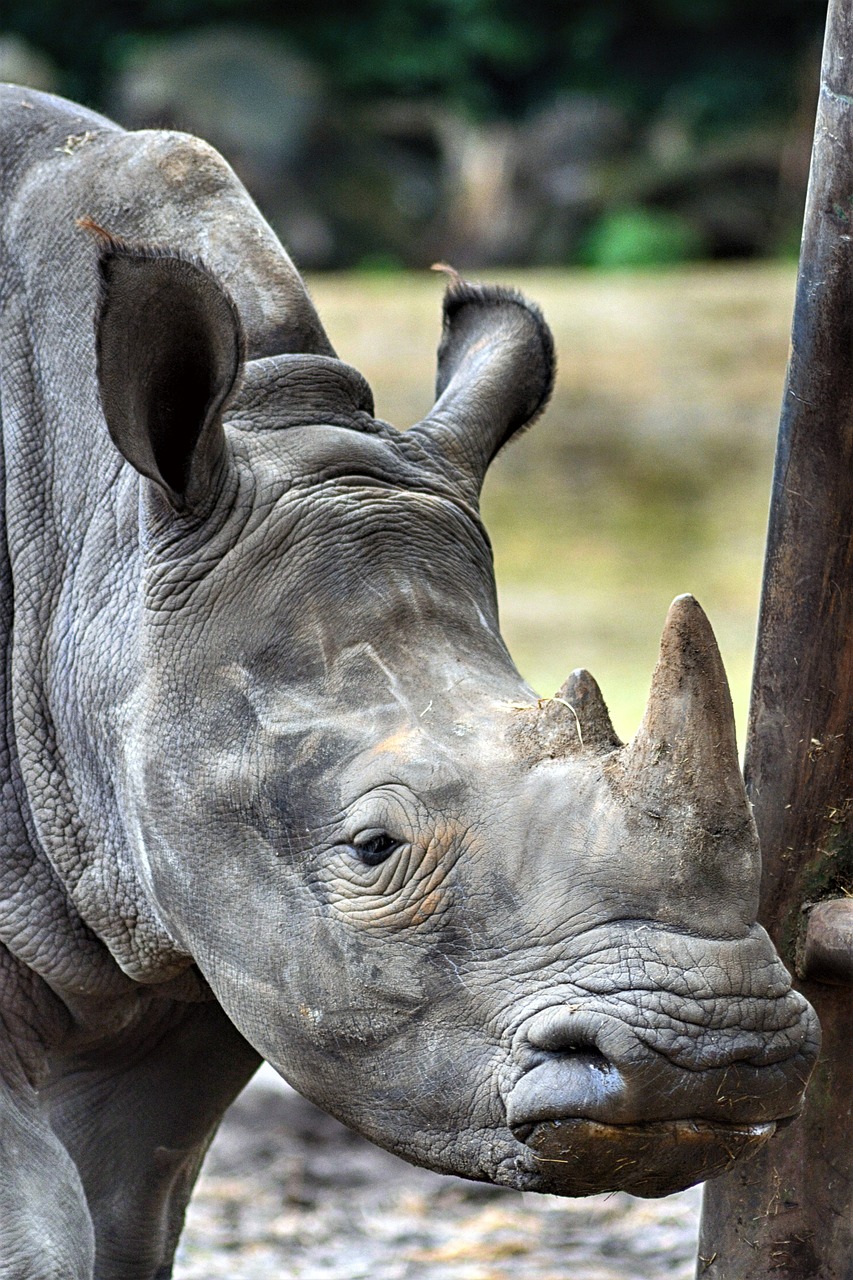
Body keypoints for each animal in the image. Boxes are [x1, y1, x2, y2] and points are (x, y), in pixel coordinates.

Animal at [0, 85, 819, 1274]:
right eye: (373, 848)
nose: (715, 1058)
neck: (93, 551)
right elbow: (40, 1220)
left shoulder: (198, 932)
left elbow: (123, 1208)